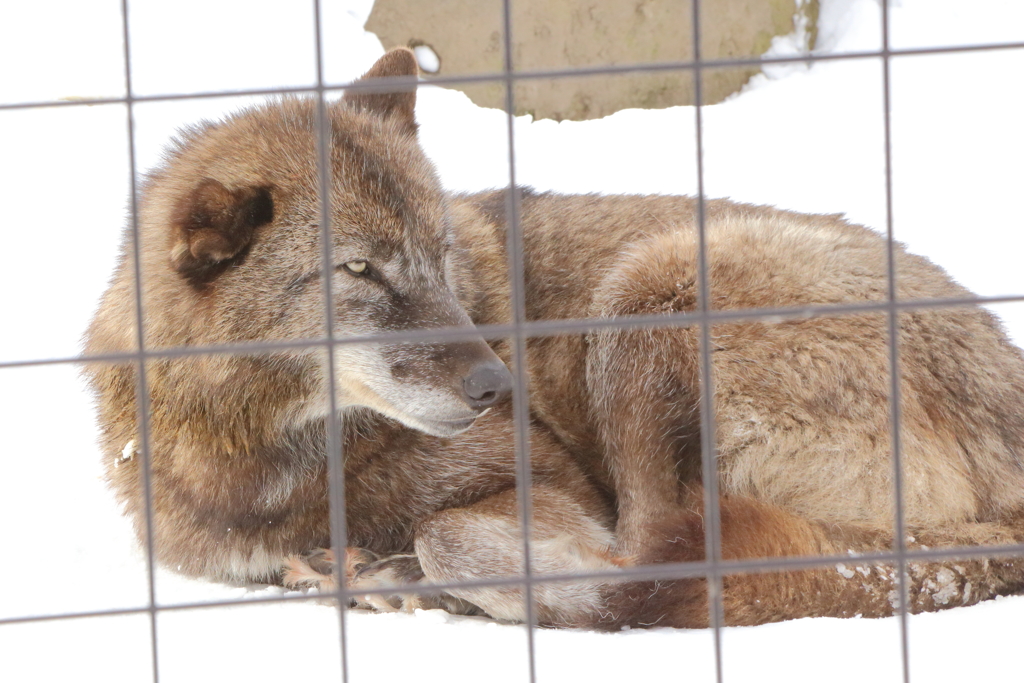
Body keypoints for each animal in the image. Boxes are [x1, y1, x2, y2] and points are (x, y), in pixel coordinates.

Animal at [83, 50, 1024, 630]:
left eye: (441, 256)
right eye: (359, 269)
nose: (496, 385)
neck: (268, 460)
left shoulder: (559, 484)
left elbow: (451, 531)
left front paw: (401, 573)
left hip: (647, 293)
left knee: (652, 557)